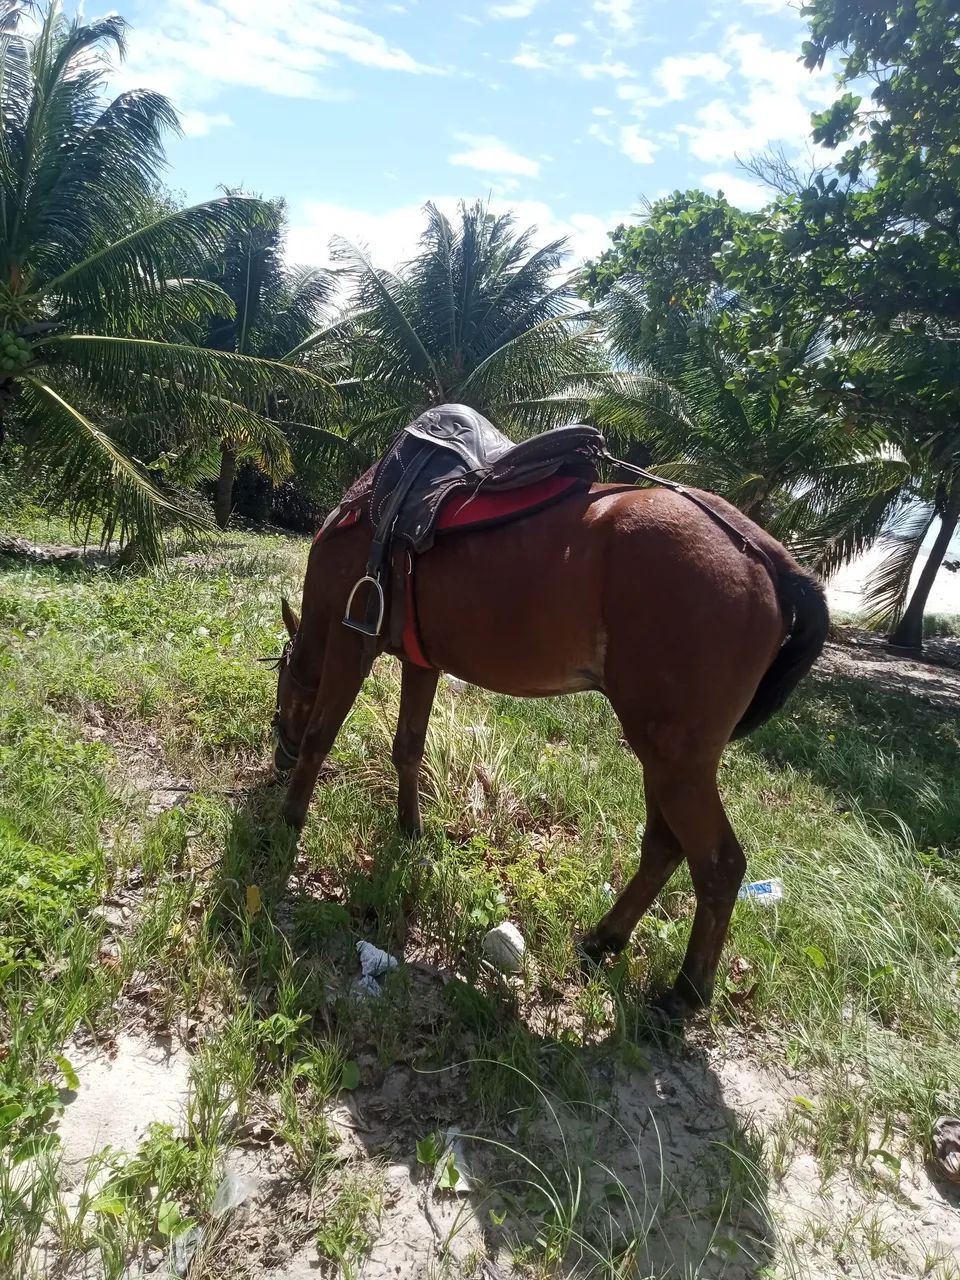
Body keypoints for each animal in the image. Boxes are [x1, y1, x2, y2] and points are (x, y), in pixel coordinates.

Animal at [271, 478, 828, 1019]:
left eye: (283, 688)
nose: (279, 759)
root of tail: (766, 556)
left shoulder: (350, 640)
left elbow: (321, 735)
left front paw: (289, 821)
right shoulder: (421, 660)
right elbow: (408, 747)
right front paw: (410, 829)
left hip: (676, 760)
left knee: (718, 865)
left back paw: (686, 992)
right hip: (666, 759)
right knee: (663, 848)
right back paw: (604, 939)